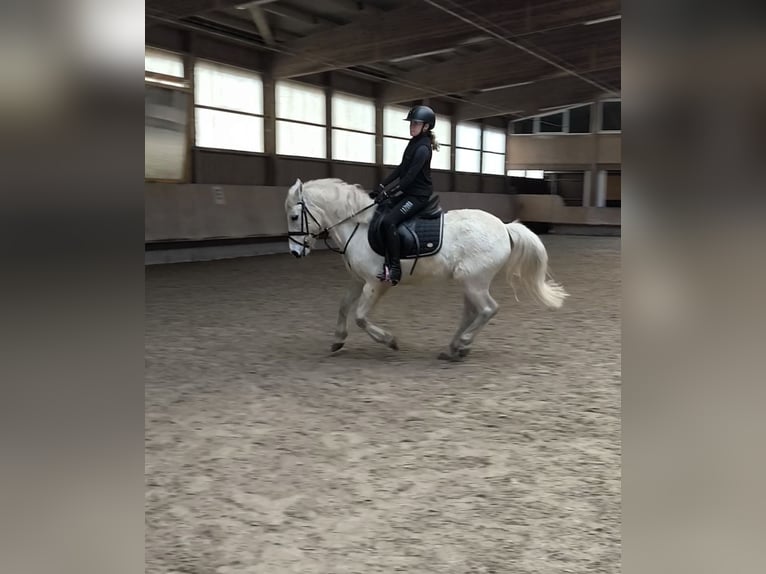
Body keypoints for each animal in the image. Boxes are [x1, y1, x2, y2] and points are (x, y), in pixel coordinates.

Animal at [284, 177, 568, 361]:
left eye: (294, 217)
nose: (295, 253)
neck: (359, 227)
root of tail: (505, 227)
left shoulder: (376, 283)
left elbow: (361, 317)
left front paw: (390, 340)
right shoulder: (357, 280)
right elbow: (343, 307)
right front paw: (338, 340)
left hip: (474, 281)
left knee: (489, 309)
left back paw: (462, 344)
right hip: (470, 281)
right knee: (472, 313)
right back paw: (454, 348)